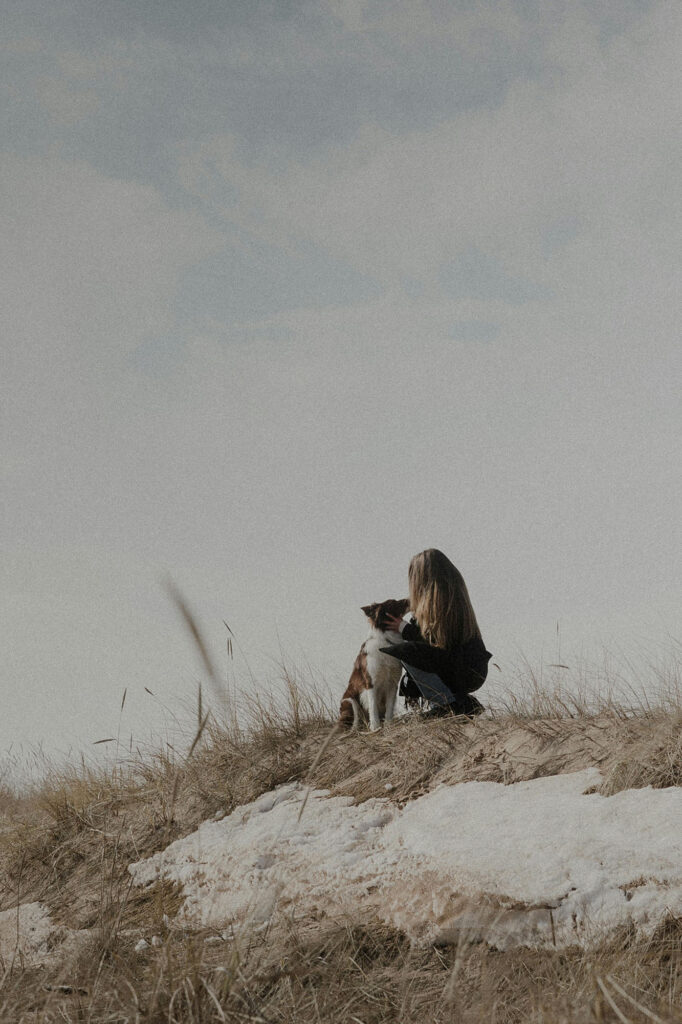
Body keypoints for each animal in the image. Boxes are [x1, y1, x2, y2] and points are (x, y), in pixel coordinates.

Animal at [335, 598, 405, 733]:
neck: (385, 642)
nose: (408, 599)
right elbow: (373, 707)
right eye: (393, 603)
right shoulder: (370, 683)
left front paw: (389, 724)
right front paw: (375, 727)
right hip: (349, 700)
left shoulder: (392, 683)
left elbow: (389, 707)